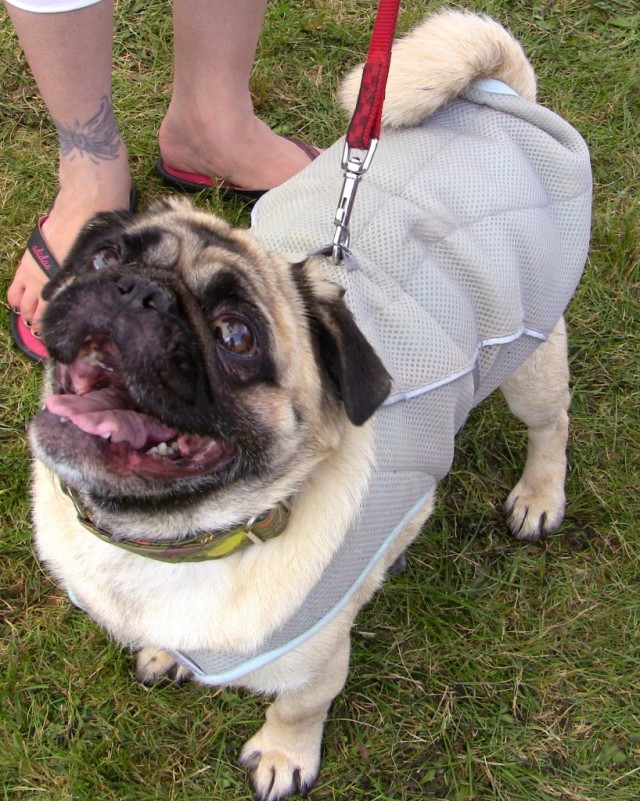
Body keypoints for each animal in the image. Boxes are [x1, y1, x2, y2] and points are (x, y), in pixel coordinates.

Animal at [28, 7, 592, 800]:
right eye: (105, 258)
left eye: (235, 336)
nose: (138, 291)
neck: (171, 543)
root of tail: (501, 98)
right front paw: (166, 654)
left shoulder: (315, 657)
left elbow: (299, 706)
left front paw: (283, 756)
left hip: (530, 356)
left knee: (552, 424)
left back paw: (539, 496)